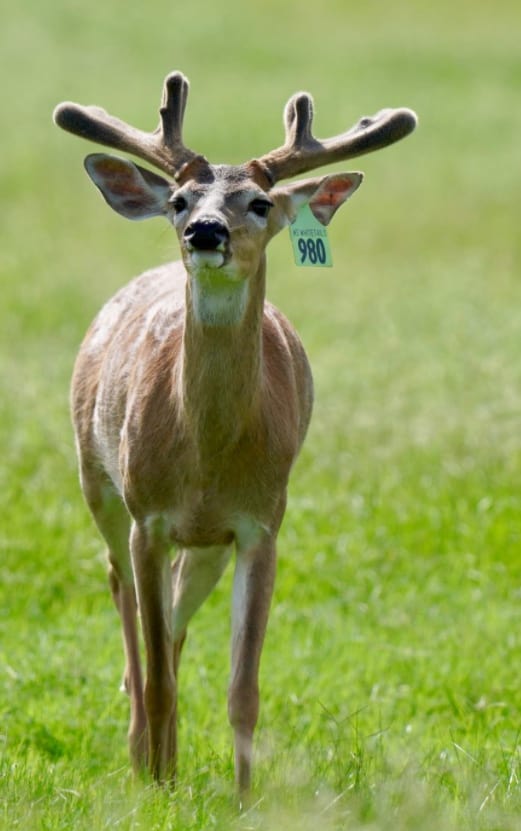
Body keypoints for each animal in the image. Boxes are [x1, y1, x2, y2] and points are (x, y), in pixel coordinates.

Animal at [53, 71, 417, 793]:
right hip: (99, 486)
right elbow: (157, 676)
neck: (206, 458)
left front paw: (245, 798)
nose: (203, 231)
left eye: (258, 202)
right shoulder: (148, 518)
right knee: (131, 625)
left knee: (173, 625)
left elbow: (241, 687)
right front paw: (156, 789)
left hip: (206, 547)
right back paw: (143, 758)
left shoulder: (261, 521)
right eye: (180, 199)